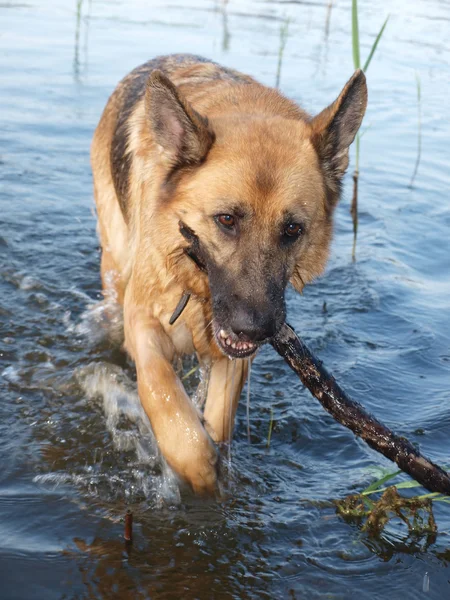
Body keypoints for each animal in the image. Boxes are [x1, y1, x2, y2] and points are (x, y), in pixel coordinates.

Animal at [90, 54, 366, 494]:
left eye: (292, 230)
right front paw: (200, 472)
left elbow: (218, 422)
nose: (255, 328)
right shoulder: (144, 326)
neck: (195, 283)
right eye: (226, 220)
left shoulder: (230, 358)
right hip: (114, 261)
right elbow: (166, 402)